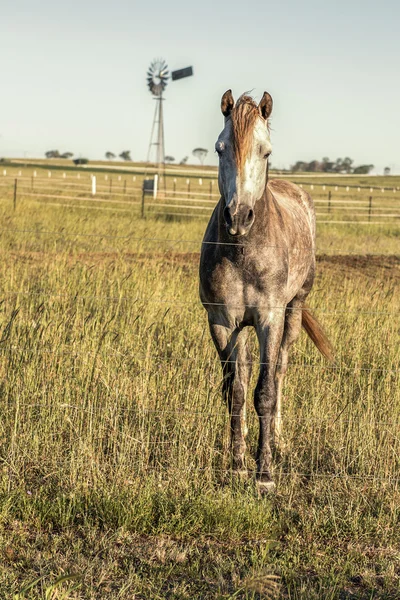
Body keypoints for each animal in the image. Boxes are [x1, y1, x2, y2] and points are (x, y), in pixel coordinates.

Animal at [198, 89, 332, 492]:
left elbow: (265, 392)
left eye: (266, 152)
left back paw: (279, 437)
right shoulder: (222, 322)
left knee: (281, 370)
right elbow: (236, 392)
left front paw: (264, 474)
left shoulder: (269, 319)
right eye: (220, 148)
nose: (238, 217)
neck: (244, 249)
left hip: (293, 311)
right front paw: (237, 465)